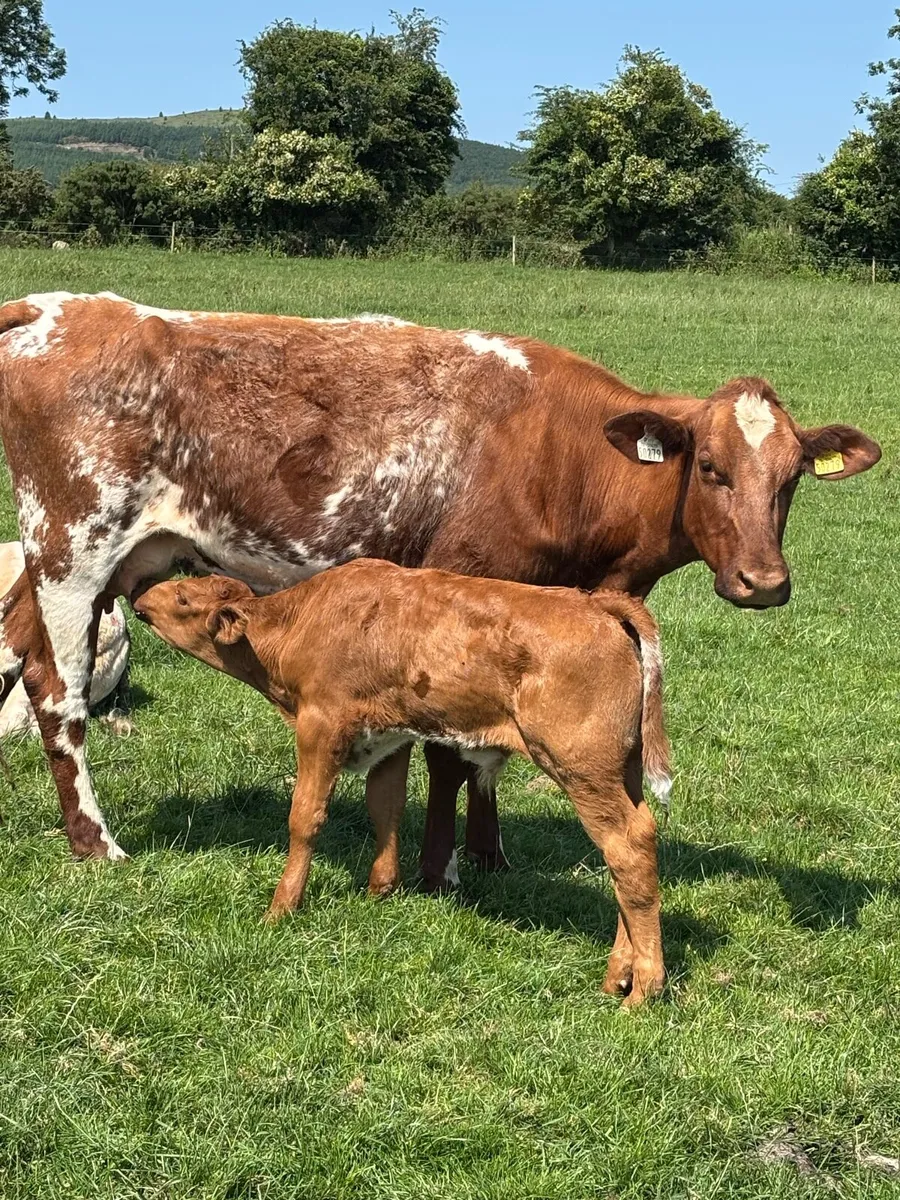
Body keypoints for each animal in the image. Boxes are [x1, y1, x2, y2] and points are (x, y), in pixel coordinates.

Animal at [132, 565, 671, 1006]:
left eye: (182, 597)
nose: (138, 597)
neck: (298, 625)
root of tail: (595, 603)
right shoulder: (389, 738)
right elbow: (384, 806)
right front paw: (380, 891)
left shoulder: (320, 727)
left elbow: (305, 818)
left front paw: (281, 909)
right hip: (619, 768)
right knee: (632, 849)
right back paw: (619, 975)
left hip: (581, 767)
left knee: (627, 848)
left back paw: (642, 990)